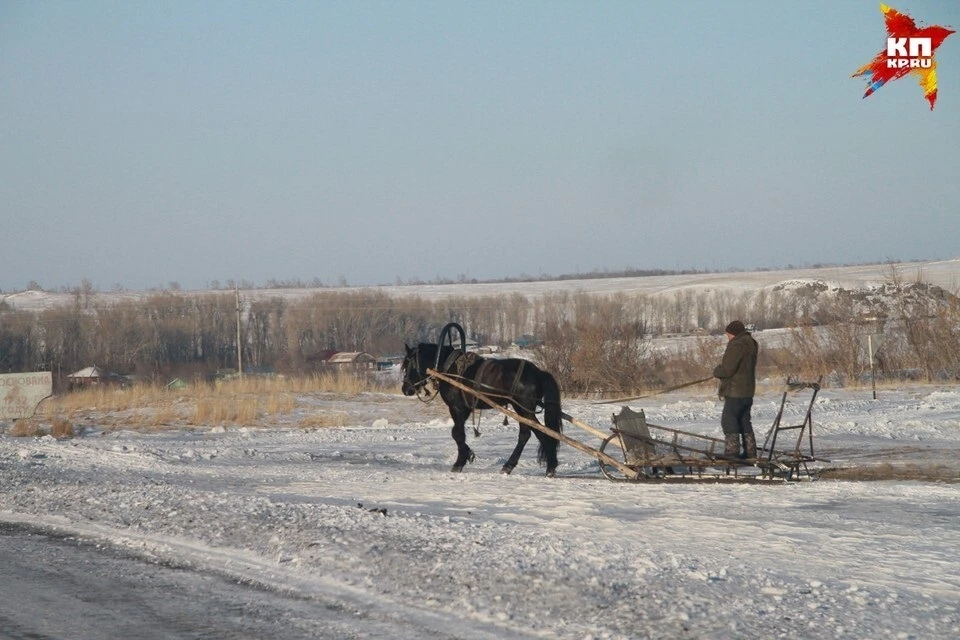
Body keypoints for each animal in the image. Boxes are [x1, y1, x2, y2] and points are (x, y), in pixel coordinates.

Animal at [402, 340, 568, 476]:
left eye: (408, 365)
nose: (405, 389)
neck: (448, 368)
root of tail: (539, 372)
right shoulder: (465, 409)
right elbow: (458, 433)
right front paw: (468, 454)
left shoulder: (457, 408)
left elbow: (457, 434)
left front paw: (460, 462)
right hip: (522, 409)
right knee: (533, 433)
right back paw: (542, 465)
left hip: (524, 408)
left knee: (532, 433)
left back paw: (526, 466)